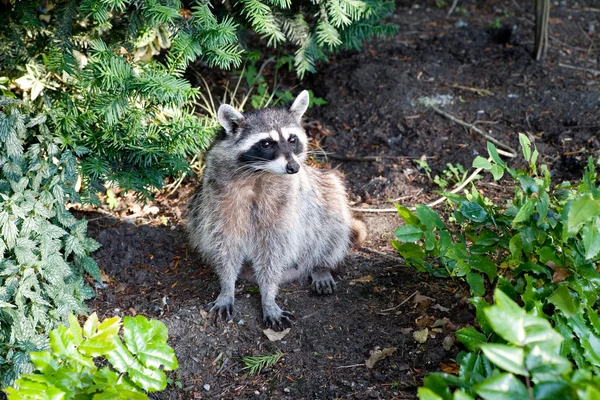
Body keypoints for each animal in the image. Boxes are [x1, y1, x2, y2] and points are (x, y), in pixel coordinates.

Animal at [188, 91, 366, 332]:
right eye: (265, 143)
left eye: (292, 139)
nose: (293, 168)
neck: (258, 172)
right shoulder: (218, 197)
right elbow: (224, 243)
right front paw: (227, 287)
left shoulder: (286, 203)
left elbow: (273, 250)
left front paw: (268, 295)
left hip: (326, 197)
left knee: (331, 223)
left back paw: (321, 265)